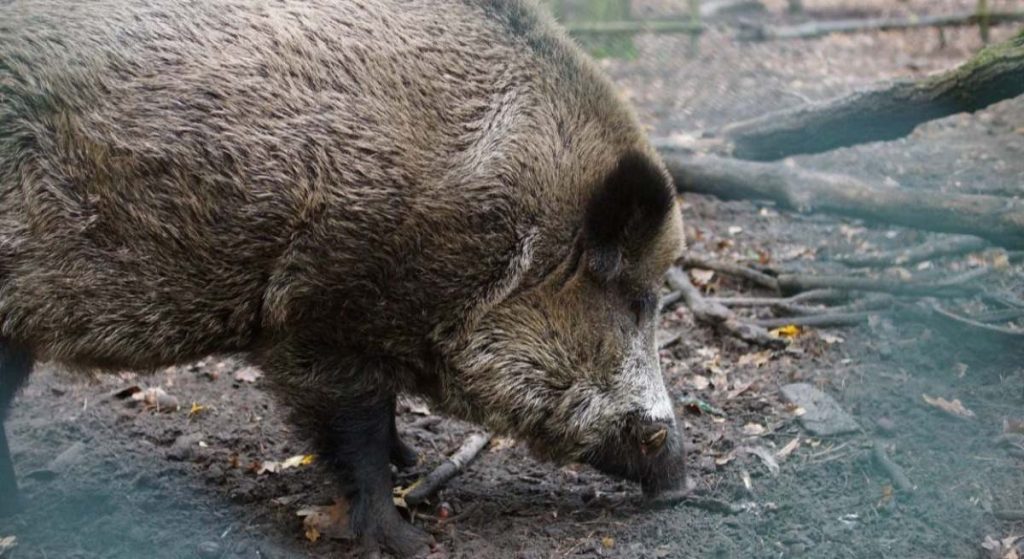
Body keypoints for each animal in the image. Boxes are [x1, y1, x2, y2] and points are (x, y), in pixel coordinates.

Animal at [0, 0, 688, 555]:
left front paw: (411, 465)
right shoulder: (321, 316)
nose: (681, 483)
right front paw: (405, 542)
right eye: (635, 299)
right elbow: (357, 433)